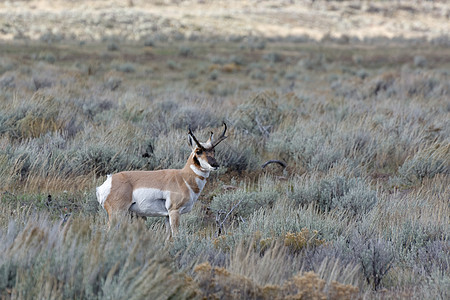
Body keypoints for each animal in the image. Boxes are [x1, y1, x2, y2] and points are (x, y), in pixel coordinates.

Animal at [96, 123, 227, 236]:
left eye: (213, 150)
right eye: (198, 151)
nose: (215, 165)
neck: (183, 177)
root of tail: (109, 181)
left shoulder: (166, 216)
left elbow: (168, 237)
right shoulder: (174, 212)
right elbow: (176, 235)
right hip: (117, 213)